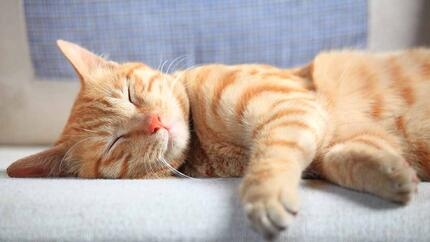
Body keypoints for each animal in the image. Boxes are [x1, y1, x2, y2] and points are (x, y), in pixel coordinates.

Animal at [7, 39, 430, 238]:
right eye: (115, 142)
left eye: (129, 94)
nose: (155, 122)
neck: (205, 145)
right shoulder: (317, 129)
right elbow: (342, 157)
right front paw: (391, 174)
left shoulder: (292, 106)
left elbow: (271, 156)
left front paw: (264, 197)